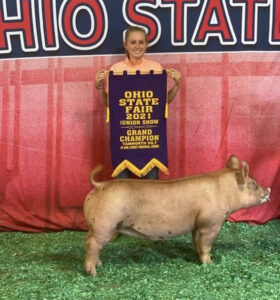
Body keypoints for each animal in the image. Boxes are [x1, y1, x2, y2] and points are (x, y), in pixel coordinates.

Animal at [83, 156, 272, 276]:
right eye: (253, 183)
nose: (268, 189)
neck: (226, 190)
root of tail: (99, 185)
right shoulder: (211, 224)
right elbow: (206, 245)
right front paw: (209, 263)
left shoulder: (197, 225)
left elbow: (197, 242)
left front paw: (197, 256)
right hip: (104, 225)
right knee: (92, 244)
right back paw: (93, 273)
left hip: (96, 226)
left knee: (91, 242)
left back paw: (100, 264)